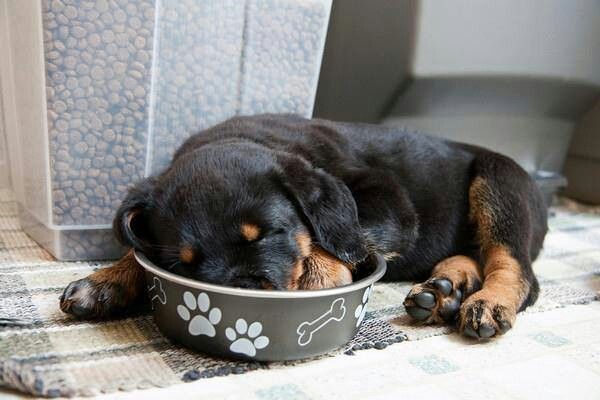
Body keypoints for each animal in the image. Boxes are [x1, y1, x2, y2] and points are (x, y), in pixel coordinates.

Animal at [61, 114, 548, 340]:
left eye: (269, 233)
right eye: (182, 265)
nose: (243, 297)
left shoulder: (388, 199)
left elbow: (339, 233)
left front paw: (322, 275)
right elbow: (136, 250)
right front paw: (105, 282)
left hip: (498, 184)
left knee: (516, 267)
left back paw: (487, 303)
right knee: (474, 254)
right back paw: (444, 289)